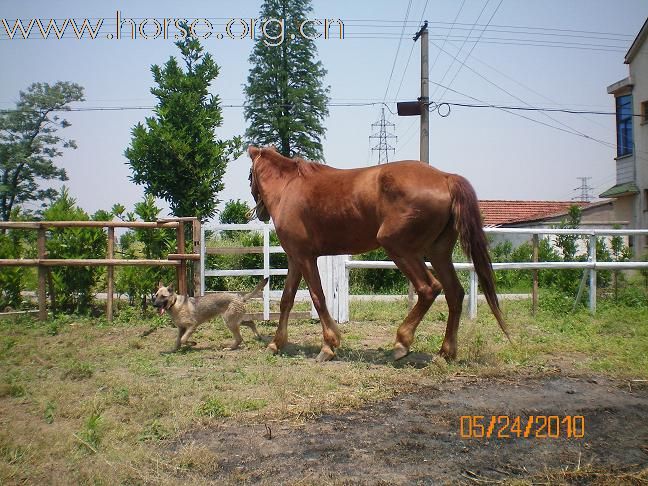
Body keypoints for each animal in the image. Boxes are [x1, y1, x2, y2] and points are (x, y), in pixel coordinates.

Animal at [248, 144, 506, 360]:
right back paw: (445, 353)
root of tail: (445, 177)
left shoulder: (305, 257)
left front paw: (329, 345)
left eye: (249, 175)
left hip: (399, 248)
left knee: (429, 288)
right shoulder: (295, 258)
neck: (289, 187)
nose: (260, 212)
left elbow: (318, 297)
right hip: (437, 253)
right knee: (455, 293)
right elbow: (286, 300)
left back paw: (402, 343)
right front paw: (276, 344)